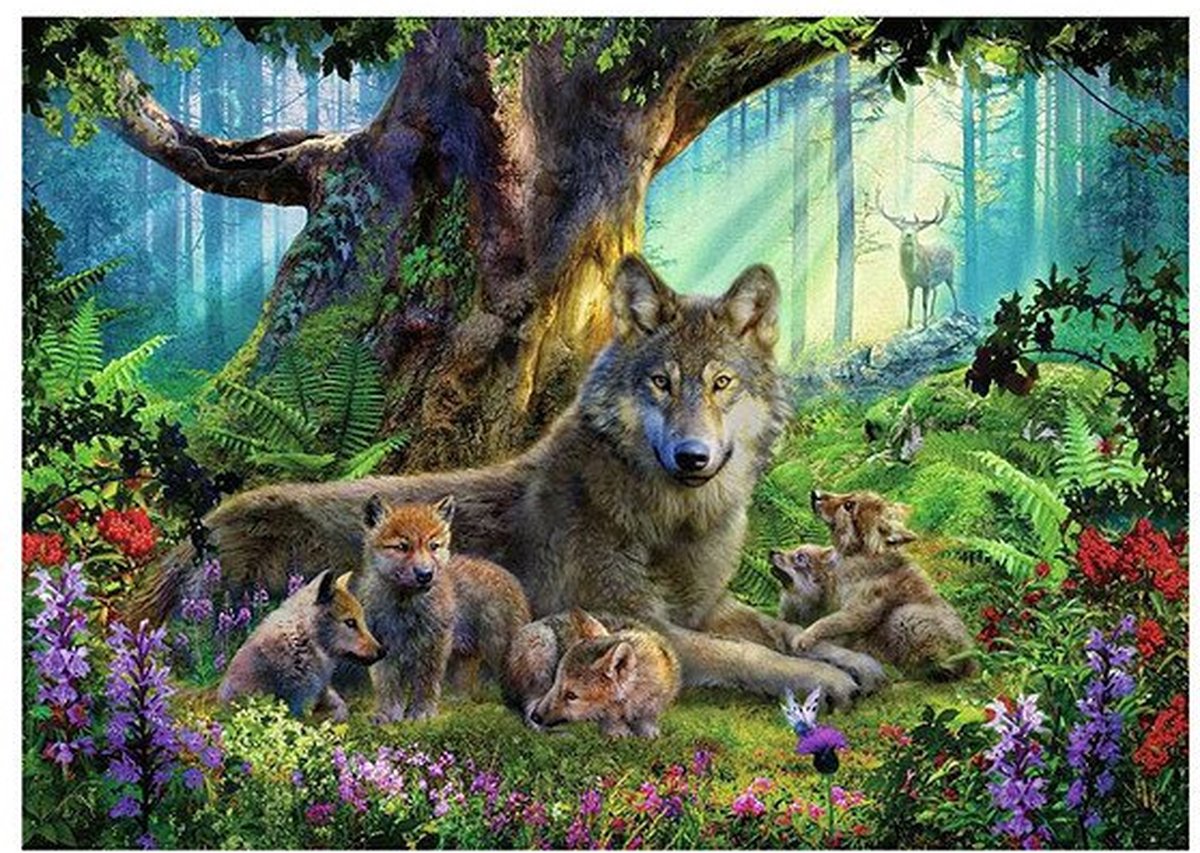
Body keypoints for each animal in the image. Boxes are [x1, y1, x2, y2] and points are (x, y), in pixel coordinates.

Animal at [217, 569, 386, 720]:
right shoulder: (300, 709)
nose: (382, 651)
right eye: (350, 622)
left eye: (361, 620)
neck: (302, 643)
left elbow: (340, 706)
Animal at [357, 494, 531, 721]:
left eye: (433, 546)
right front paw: (387, 715)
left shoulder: (433, 644)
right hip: (465, 654)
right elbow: (386, 684)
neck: (404, 605)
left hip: (500, 648)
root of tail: (509, 577)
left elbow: (426, 681)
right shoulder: (382, 644)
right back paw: (460, 703)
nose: (425, 574)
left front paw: (421, 714)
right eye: (402, 547)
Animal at [528, 611, 682, 738]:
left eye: (571, 695)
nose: (535, 717)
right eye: (555, 682)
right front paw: (617, 734)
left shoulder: (652, 706)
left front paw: (648, 734)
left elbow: (647, 720)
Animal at [786, 489, 978, 680]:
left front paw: (804, 637)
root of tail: (972, 663)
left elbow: (827, 622)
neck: (856, 556)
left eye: (849, 506)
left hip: (905, 615)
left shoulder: (861, 611)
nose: (814, 493)